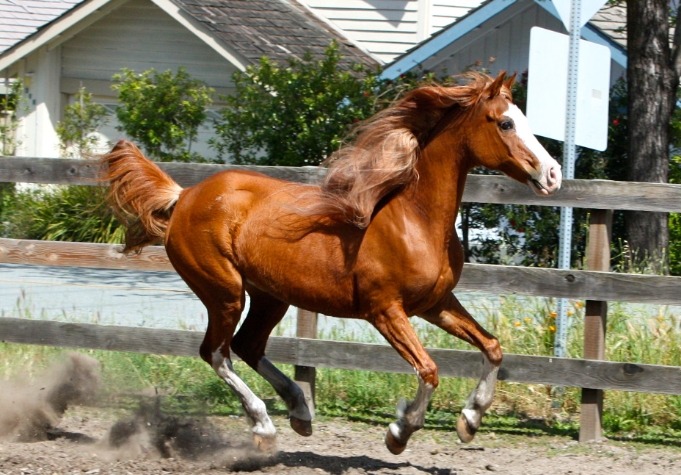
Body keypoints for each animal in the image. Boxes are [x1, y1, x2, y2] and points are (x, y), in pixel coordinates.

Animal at [99, 72, 556, 456]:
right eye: (505, 123)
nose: (552, 174)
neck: (415, 219)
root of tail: (184, 196)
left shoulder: (435, 304)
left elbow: (493, 347)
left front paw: (470, 420)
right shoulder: (385, 311)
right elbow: (428, 369)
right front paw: (399, 432)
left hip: (270, 296)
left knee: (248, 346)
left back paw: (300, 412)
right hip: (224, 292)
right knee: (216, 352)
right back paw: (264, 427)